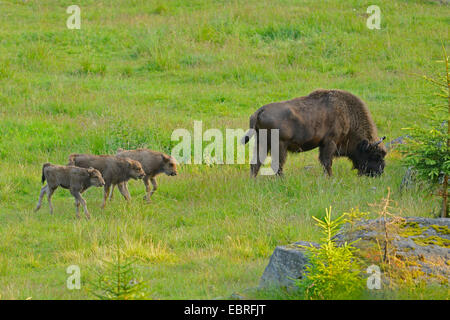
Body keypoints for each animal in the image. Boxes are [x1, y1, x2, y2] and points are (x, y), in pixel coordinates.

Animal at [243, 89, 386, 176]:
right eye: (376, 155)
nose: (380, 171)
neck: (347, 114)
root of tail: (259, 111)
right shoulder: (330, 142)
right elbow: (327, 162)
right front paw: (330, 177)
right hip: (279, 145)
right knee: (277, 165)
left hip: (262, 144)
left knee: (256, 163)